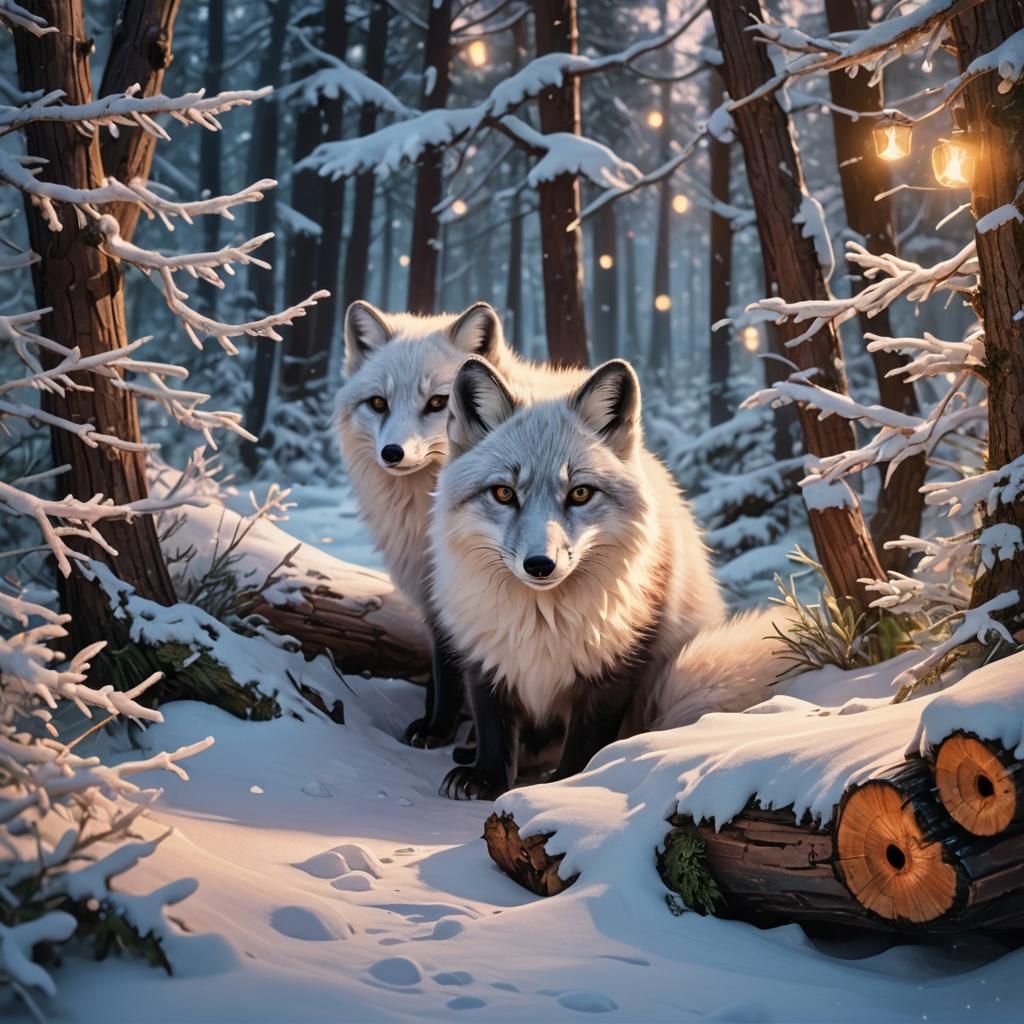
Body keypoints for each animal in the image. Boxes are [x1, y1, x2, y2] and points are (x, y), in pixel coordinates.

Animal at [429, 355, 729, 800]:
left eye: (580, 494)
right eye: (504, 494)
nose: (540, 565)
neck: (541, 622)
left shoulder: (618, 663)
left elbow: (587, 741)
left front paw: (567, 785)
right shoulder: (485, 653)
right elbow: (491, 725)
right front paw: (487, 777)